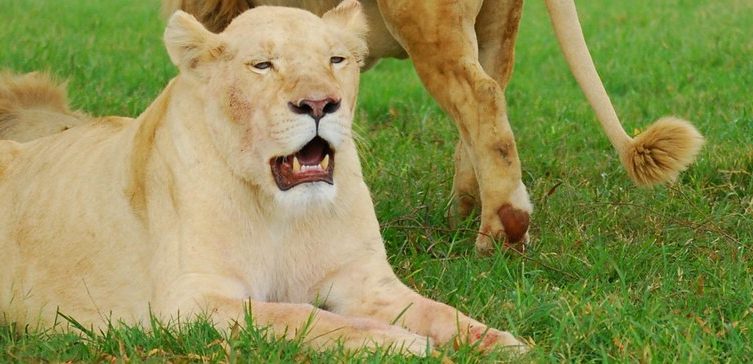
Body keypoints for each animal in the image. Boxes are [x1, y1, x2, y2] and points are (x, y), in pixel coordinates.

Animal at [0, 1, 524, 354]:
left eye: (336, 59)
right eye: (263, 65)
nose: (320, 104)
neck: (282, 212)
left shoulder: (365, 280)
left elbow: (440, 311)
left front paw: (498, 341)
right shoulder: (191, 303)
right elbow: (307, 317)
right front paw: (400, 343)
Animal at [166, 0, 704, 253]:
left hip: (426, 19)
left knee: (480, 98)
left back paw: (502, 232)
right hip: (496, 24)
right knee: (491, 92)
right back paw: (463, 214)